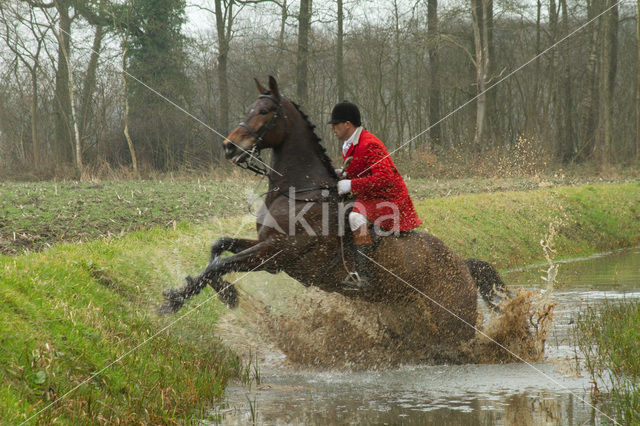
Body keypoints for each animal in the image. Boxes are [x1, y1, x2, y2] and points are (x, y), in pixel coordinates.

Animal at [161, 75, 510, 350]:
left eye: (264, 112)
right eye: (248, 109)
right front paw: (201, 294)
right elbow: (217, 249)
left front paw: (188, 298)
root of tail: (462, 264)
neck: (297, 190)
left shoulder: (278, 252)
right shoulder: (267, 249)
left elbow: (219, 264)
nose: (229, 147)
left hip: (452, 320)